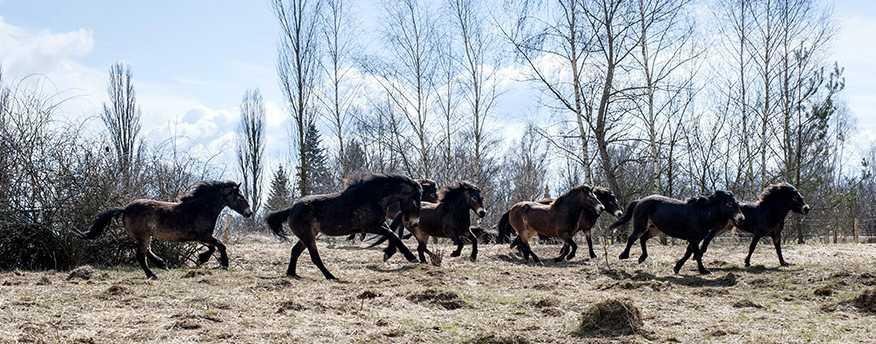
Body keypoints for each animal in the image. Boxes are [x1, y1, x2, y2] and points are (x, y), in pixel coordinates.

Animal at [81, 180, 253, 280]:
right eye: (239, 197)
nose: (249, 213)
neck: (200, 208)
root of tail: (125, 209)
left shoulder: (203, 237)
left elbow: (213, 247)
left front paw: (201, 259)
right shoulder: (203, 235)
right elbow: (220, 245)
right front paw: (223, 264)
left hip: (144, 236)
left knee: (147, 251)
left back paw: (162, 264)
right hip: (143, 236)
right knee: (141, 255)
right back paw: (153, 274)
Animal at [266, 173, 422, 280]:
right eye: (416, 199)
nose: (415, 222)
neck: (372, 197)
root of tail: (291, 209)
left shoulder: (380, 225)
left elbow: (392, 235)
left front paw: (389, 253)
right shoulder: (370, 227)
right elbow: (393, 235)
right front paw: (410, 257)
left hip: (308, 236)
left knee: (295, 251)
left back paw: (292, 274)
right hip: (308, 237)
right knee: (314, 257)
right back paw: (330, 276)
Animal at [608, 191, 744, 274]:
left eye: (737, 203)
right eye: (729, 204)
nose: (741, 218)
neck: (702, 214)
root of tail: (640, 201)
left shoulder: (695, 239)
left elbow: (689, 253)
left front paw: (677, 267)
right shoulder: (693, 239)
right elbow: (697, 254)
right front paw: (703, 270)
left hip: (655, 229)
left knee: (643, 239)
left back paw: (642, 258)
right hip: (641, 226)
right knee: (632, 238)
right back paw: (624, 255)